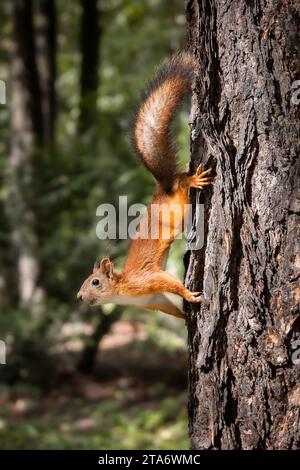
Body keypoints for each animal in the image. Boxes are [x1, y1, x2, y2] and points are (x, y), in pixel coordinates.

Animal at [77, 54, 213, 320]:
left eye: (95, 282)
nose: (78, 297)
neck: (121, 290)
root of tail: (163, 187)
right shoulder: (153, 300)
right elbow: (169, 306)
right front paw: (184, 318)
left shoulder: (147, 280)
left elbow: (171, 283)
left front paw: (189, 294)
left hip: (179, 202)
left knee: (182, 181)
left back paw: (193, 180)